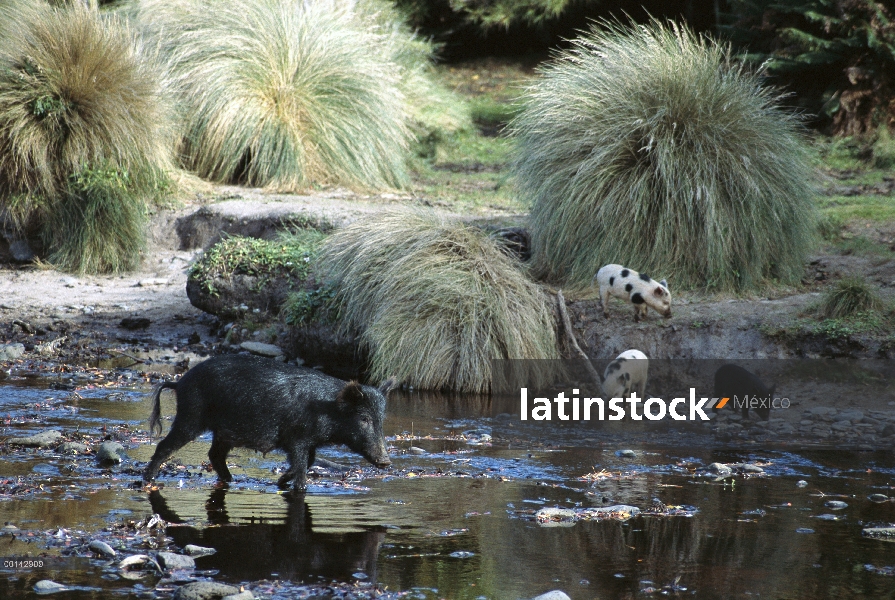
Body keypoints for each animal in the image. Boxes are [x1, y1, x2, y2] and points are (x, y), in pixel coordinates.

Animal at [144, 354, 392, 490]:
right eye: (364, 419)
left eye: (381, 420)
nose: (386, 461)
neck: (327, 410)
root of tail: (179, 383)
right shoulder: (297, 438)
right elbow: (302, 465)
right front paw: (298, 486)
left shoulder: (308, 441)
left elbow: (310, 461)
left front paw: (281, 481)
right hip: (191, 416)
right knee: (164, 446)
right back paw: (149, 478)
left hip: (223, 431)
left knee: (214, 455)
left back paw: (231, 479)